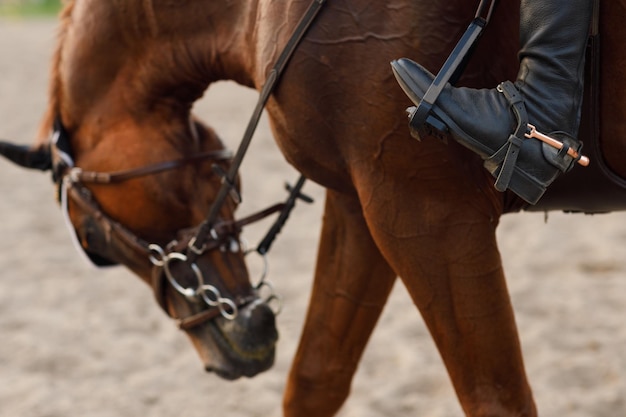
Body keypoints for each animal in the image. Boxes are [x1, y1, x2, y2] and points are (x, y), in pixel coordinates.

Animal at [0, 0, 620, 416]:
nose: (240, 346)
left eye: (93, 243)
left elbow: (494, 396)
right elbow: (315, 378)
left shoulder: (431, 212)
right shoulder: (366, 203)